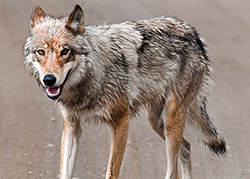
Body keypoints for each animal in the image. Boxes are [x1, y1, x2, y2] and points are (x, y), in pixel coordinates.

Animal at [23, 4, 227, 179]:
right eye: (41, 52)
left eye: (65, 51)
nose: (49, 79)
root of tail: (194, 34)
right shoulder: (72, 125)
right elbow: (64, 172)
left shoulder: (121, 121)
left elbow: (112, 172)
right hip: (156, 121)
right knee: (186, 148)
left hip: (170, 119)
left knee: (173, 166)